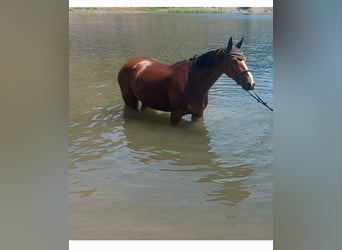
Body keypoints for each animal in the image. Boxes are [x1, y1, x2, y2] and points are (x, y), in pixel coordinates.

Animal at [117, 36, 254, 124]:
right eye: (233, 61)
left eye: (245, 59)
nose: (251, 83)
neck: (193, 82)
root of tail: (129, 63)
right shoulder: (175, 115)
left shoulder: (198, 114)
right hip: (130, 100)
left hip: (146, 99)